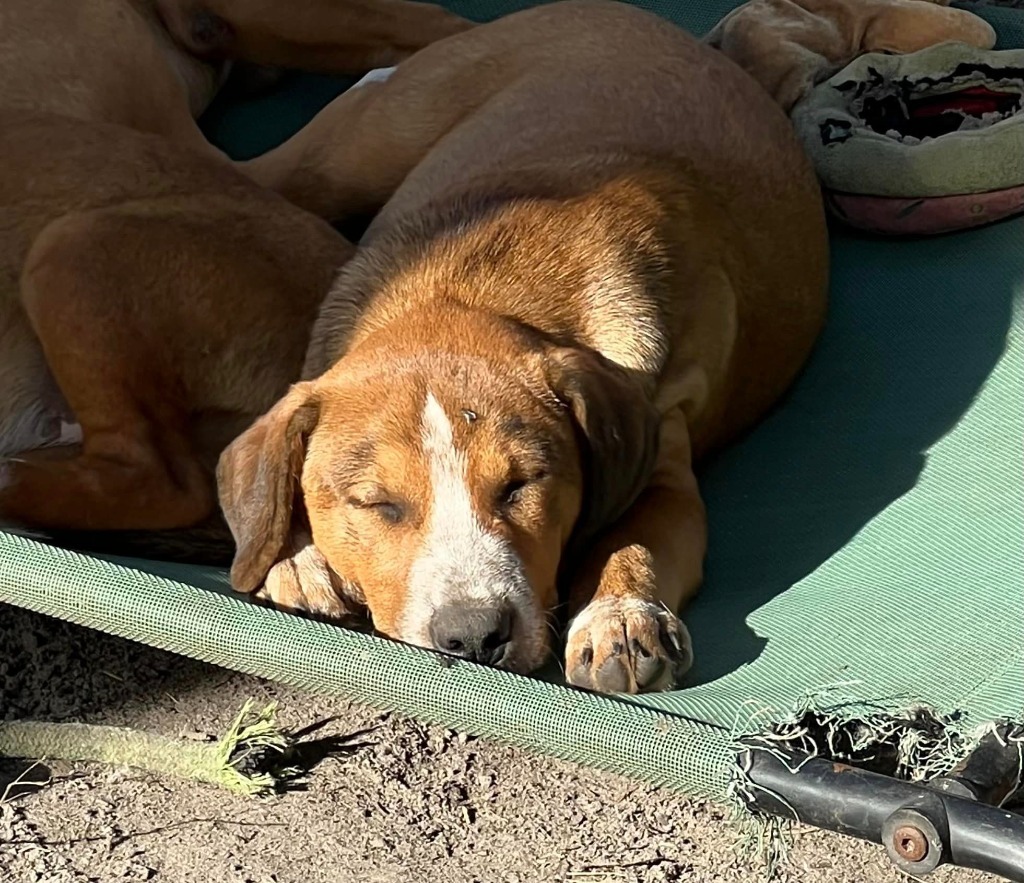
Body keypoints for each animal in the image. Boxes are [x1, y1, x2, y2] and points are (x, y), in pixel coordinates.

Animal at [218, 0, 831, 696]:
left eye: (521, 485)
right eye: (378, 505)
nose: (474, 635)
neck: (469, 286)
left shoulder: (663, 458)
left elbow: (636, 536)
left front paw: (619, 617)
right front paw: (295, 558)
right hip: (349, 155)